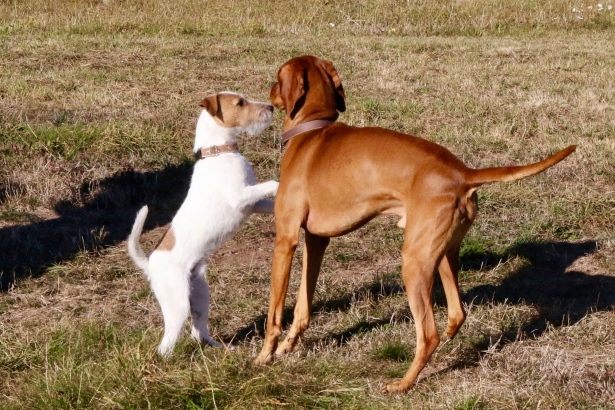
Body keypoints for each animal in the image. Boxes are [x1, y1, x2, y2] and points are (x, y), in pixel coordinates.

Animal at [127, 92, 280, 356]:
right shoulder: (240, 197)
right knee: (166, 345)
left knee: (198, 332)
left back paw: (222, 348)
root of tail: (149, 262)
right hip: (177, 304)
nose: (270, 107)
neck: (218, 151)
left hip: (200, 294)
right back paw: (167, 360)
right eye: (240, 103)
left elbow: (270, 201)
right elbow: (271, 183)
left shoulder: (254, 203)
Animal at [256, 55, 576, 394]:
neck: (312, 130)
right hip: (442, 254)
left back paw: (403, 384)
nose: (270, 95)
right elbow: (303, 304)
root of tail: (463, 174)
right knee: (456, 313)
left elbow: (274, 312)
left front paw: (265, 355)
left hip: (413, 262)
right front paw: (289, 345)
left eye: (277, 77)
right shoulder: (316, 241)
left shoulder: (286, 241)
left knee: (428, 334)